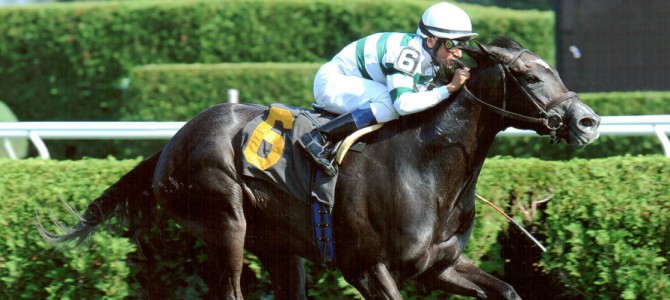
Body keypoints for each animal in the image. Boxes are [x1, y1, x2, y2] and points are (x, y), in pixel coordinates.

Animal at [39, 38, 600, 300]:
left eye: (552, 67)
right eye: (531, 75)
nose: (588, 121)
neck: (427, 165)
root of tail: (172, 143)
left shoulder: (439, 265)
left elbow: (506, 288)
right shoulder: (366, 267)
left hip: (280, 246)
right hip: (225, 222)